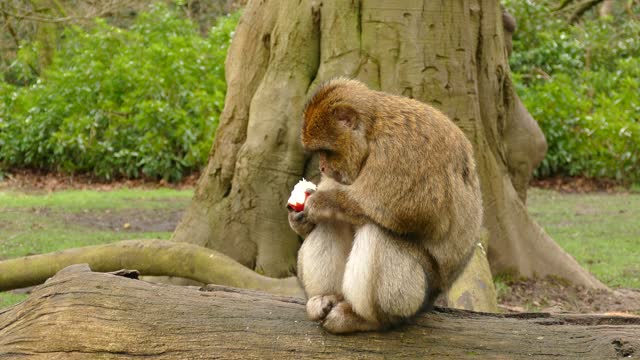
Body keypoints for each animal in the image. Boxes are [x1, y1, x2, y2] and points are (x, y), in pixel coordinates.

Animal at [288, 79, 482, 334]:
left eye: (326, 152)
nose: (322, 167)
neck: (372, 132)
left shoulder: (401, 150)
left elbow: (409, 212)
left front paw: (319, 202)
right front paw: (300, 219)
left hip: (415, 296)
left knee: (377, 232)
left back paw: (364, 319)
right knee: (332, 223)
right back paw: (325, 298)